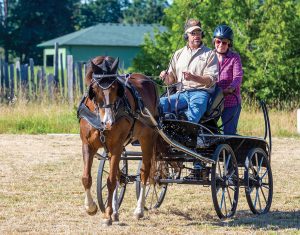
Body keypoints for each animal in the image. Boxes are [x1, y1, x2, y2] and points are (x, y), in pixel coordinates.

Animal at [79, 55, 159, 226]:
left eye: (116, 89)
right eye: (95, 90)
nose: (108, 122)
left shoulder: (116, 146)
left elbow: (110, 181)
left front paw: (107, 215)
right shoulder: (87, 145)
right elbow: (87, 178)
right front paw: (91, 207)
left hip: (147, 139)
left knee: (145, 173)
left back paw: (139, 210)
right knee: (119, 175)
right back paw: (116, 211)